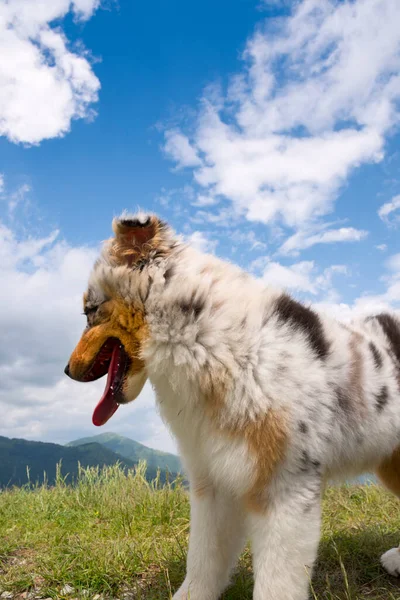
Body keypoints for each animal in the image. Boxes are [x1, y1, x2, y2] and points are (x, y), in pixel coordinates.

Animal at [65, 213, 400, 596]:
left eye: (90, 310)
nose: (67, 371)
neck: (209, 341)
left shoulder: (285, 488)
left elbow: (275, 584)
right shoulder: (214, 479)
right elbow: (203, 560)